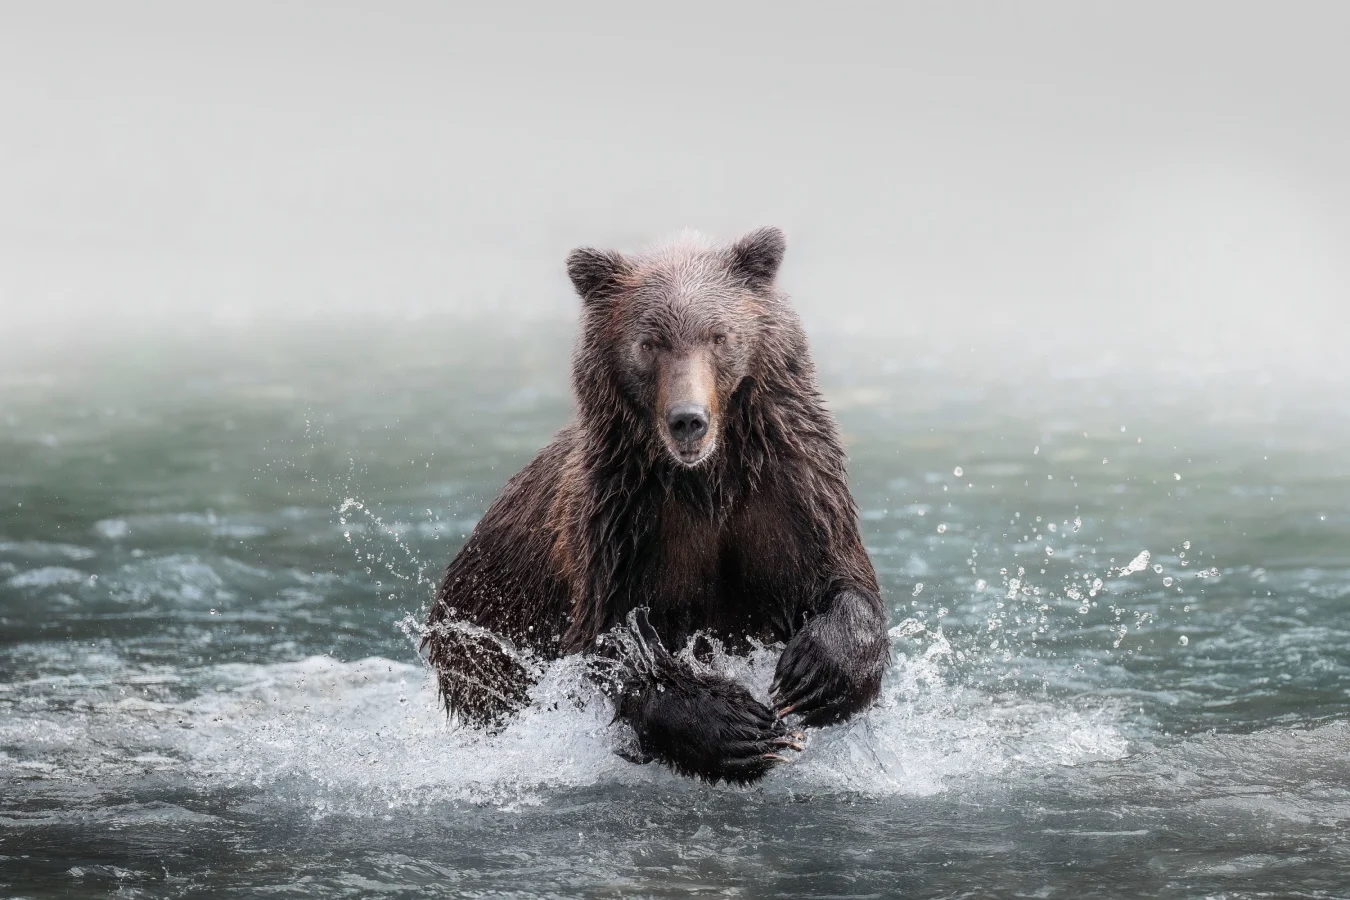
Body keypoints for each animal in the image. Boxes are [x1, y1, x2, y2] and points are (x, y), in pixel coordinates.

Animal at [422, 227, 890, 784]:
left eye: (718, 336)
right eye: (648, 343)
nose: (688, 419)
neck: (706, 483)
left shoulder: (794, 496)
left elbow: (842, 579)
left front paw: (813, 675)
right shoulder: (624, 528)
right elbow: (615, 648)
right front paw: (737, 727)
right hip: (482, 636)